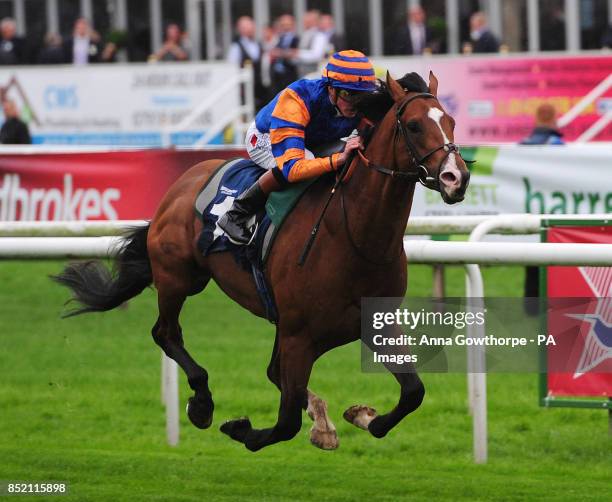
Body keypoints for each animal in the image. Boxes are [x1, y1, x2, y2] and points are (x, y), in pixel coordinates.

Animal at [55, 72, 470, 452]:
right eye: (414, 125)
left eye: (450, 120)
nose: (457, 177)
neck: (352, 233)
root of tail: (184, 182)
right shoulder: (299, 334)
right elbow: (285, 422)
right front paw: (241, 429)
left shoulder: (371, 321)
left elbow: (413, 391)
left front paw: (362, 417)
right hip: (178, 276)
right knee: (166, 333)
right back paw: (203, 404)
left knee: (272, 372)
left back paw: (319, 420)